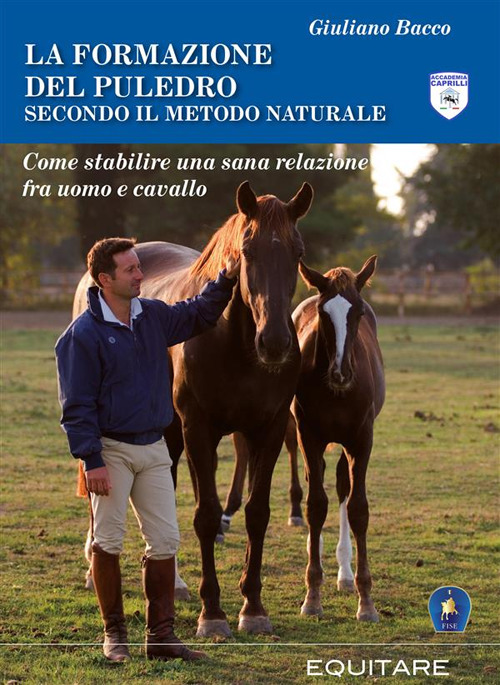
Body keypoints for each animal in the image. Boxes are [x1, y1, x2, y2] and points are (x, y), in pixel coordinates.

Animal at [292, 255, 385, 622]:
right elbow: (316, 505)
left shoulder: (361, 439)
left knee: (344, 487)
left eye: (357, 312)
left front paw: (366, 600)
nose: (341, 373)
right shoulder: (308, 435)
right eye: (323, 312)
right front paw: (312, 595)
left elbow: (358, 508)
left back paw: (345, 575)